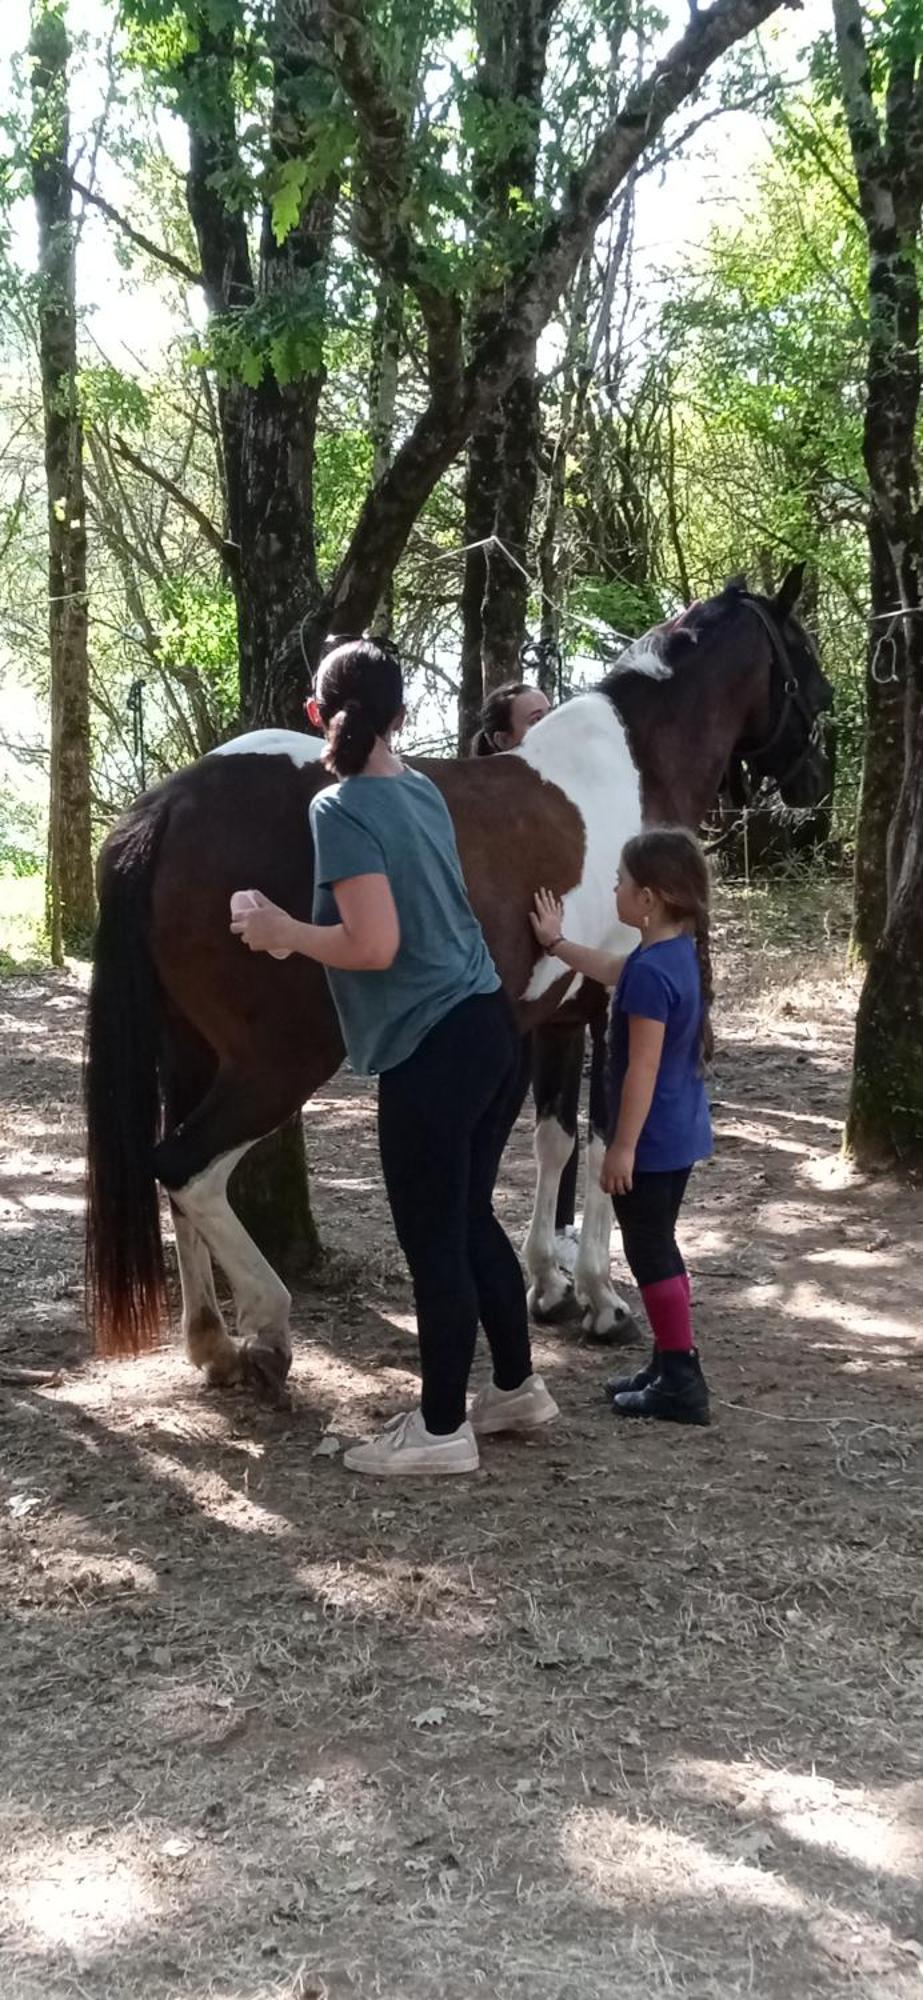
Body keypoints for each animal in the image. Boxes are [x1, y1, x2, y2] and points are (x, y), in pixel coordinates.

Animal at [86, 572, 831, 1400]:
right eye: (799, 651)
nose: (818, 779)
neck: (633, 768)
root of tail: (169, 806)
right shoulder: (613, 1011)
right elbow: (605, 1143)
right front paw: (600, 1299)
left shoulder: (556, 1017)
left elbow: (552, 1141)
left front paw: (549, 1284)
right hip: (278, 1062)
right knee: (186, 1170)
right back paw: (268, 1327)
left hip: (189, 1052)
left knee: (175, 1182)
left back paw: (212, 1342)